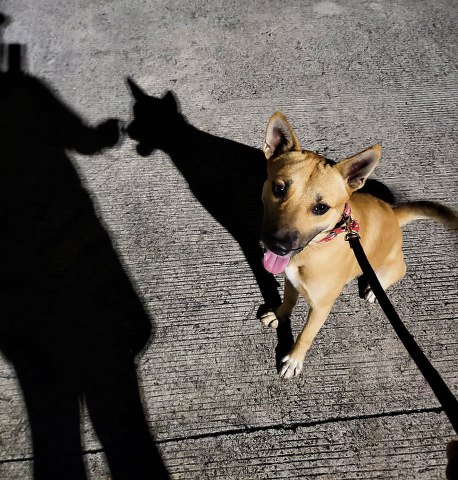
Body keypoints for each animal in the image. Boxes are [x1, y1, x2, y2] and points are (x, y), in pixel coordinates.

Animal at [260, 111, 456, 378]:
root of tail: (393, 213)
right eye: (278, 188)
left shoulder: (321, 306)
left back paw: (376, 287)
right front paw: (280, 316)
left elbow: (306, 335)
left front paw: (294, 359)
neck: (316, 248)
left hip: (390, 265)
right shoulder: (291, 280)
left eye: (321, 208)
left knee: (399, 270)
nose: (278, 246)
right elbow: (288, 302)